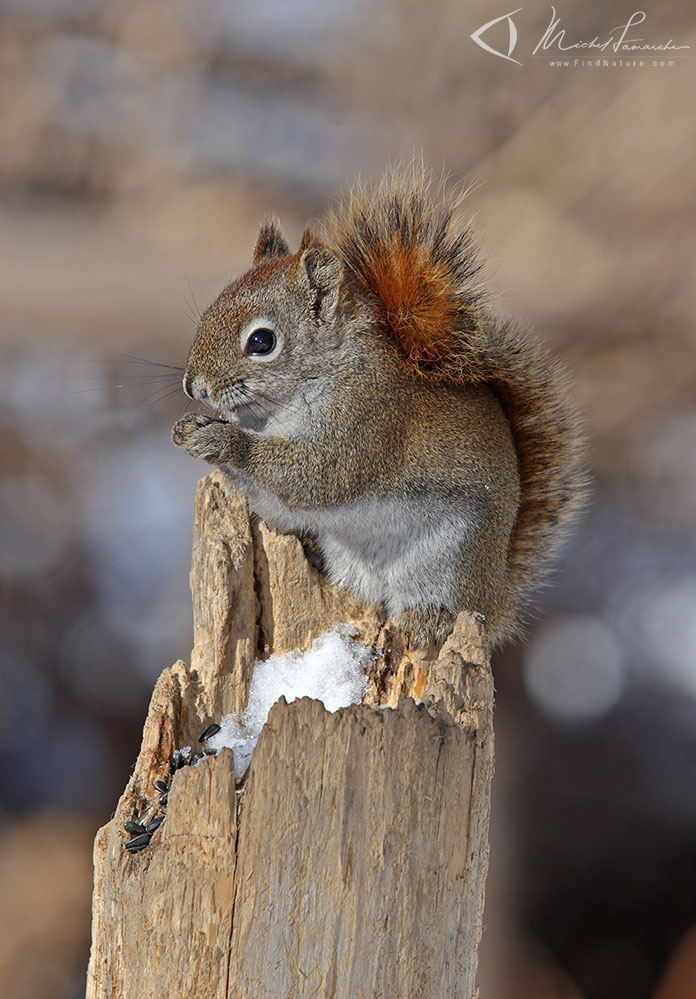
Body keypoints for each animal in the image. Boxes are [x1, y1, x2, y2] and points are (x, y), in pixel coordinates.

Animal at [171, 166, 584, 648]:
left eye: (261, 341)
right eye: (209, 312)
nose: (193, 386)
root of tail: (500, 593)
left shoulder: (367, 423)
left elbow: (316, 476)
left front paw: (225, 441)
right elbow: (277, 501)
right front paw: (188, 430)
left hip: (448, 562)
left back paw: (430, 620)